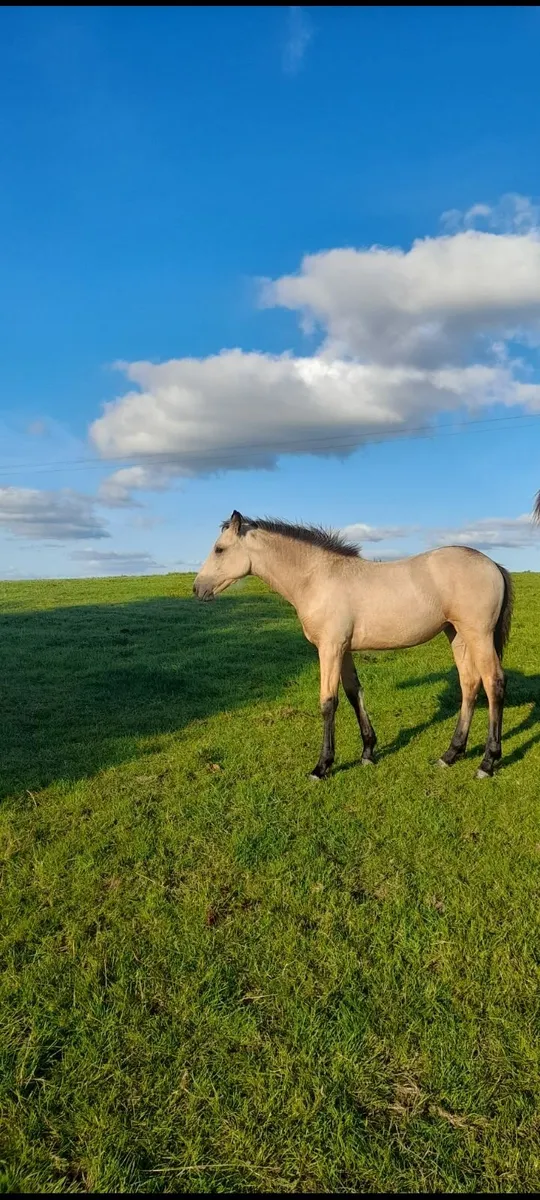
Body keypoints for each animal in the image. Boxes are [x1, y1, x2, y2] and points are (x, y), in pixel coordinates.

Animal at [193, 512, 513, 780]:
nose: (198, 589)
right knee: (469, 684)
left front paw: (322, 766)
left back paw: (487, 762)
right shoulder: (343, 649)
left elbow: (328, 702)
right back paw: (450, 754)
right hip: (456, 634)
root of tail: (492, 565)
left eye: (219, 549)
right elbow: (353, 692)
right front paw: (368, 752)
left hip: (478, 635)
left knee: (493, 683)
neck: (318, 579)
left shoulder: (330, 648)